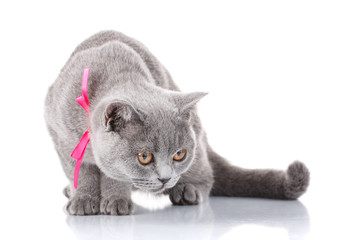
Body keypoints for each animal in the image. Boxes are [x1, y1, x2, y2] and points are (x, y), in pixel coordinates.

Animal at [44, 30, 310, 216]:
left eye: (179, 154)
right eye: (144, 157)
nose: (164, 178)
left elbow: (115, 176)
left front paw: (115, 201)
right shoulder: (60, 136)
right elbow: (80, 172)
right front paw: (83, 200)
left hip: (199, 144)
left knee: (208, 176)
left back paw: (187, 191)